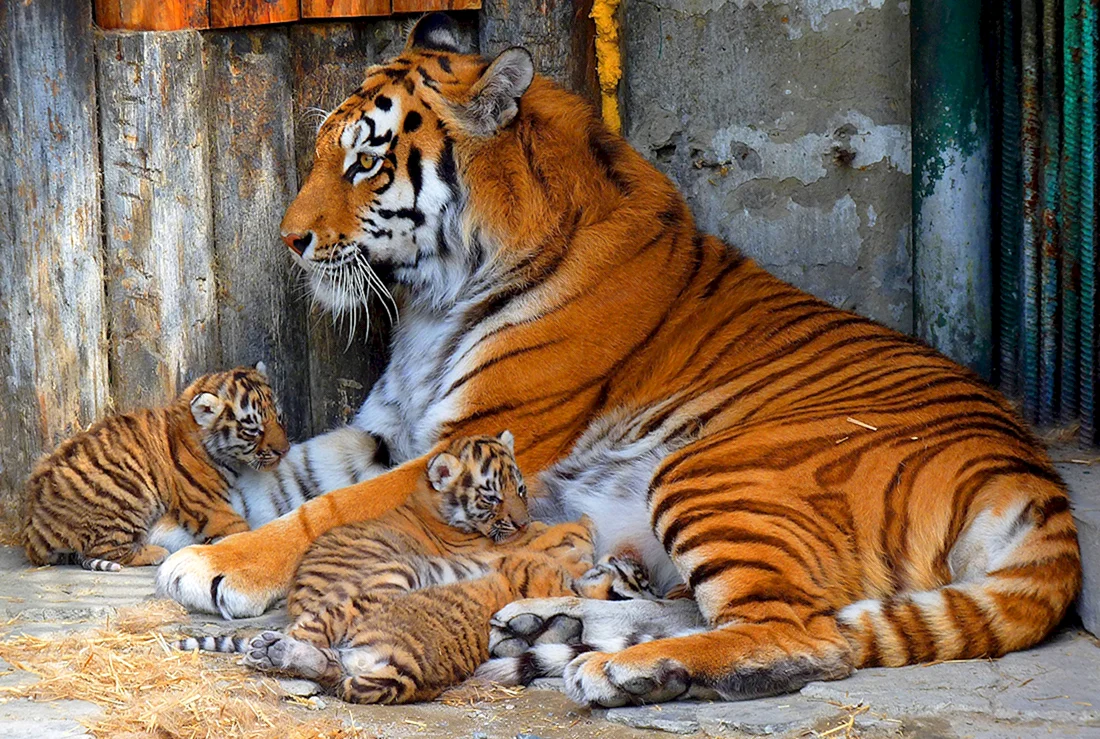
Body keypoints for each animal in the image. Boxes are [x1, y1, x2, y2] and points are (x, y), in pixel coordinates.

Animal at [24, 365, 288, 572]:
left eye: (279, 418)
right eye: (254, 430)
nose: (284, 450)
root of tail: (33, 531)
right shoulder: (207, 504)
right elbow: (238, 529)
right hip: (128, 497)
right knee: (108, 549)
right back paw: (155, 552)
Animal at [158, 13, 1081, 708]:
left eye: (364, 160)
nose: (290, 240)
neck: (433, 297)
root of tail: (1034, 479)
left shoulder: (473, 439)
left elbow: (328, 509)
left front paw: (210, 567)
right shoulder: (390, 426)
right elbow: (290, 476)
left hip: (718, 470)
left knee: (806, 636)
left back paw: (620, 672)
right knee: (702, 609)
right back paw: (546, 627)